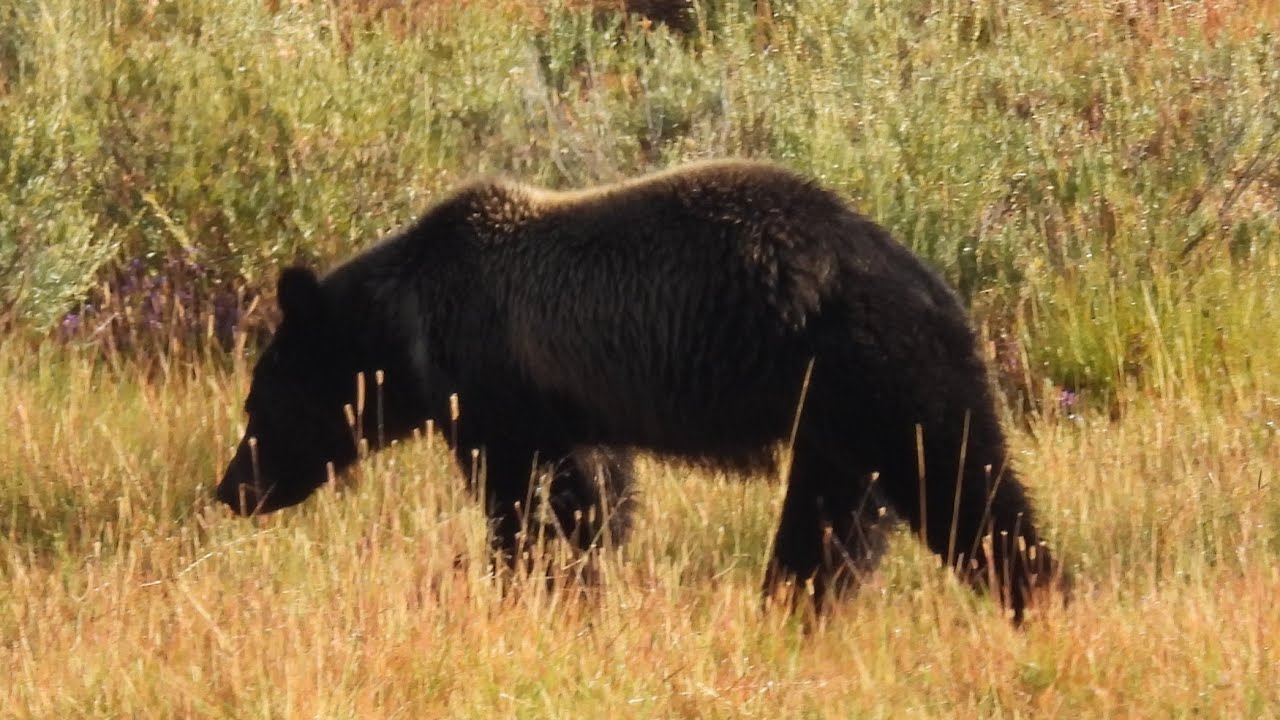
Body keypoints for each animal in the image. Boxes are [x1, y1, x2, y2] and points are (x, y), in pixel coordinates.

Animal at [216, 159, 1063, 623]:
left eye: (258, 408)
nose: (230, 490)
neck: (407, 332)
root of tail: (933, 279)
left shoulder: (496, 384)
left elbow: (530, 505)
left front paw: (520, 581)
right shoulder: (570, 399)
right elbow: (595, 501)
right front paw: (576, 582)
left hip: (870, 366)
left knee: (961, 479)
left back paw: (1038, 591)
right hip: (828, 412)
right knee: (831, 524)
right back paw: (790, 607)